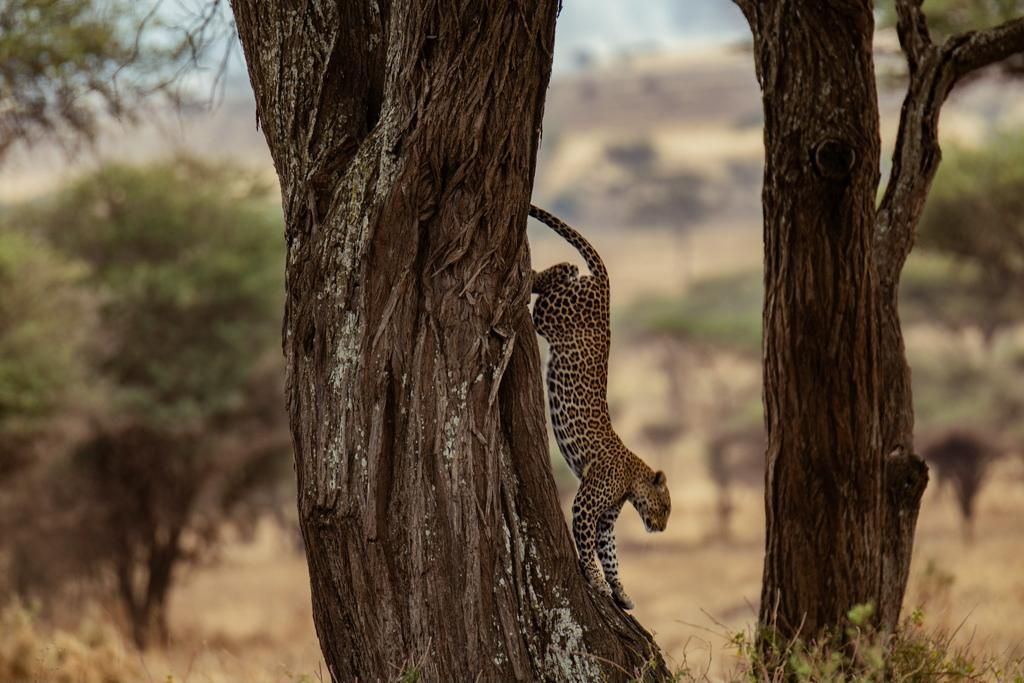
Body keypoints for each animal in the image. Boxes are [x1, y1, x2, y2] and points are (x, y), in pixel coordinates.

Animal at [529, 204, 671, 610]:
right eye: (666, 508)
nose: (662, 529)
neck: (633, 476)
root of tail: (607, 287)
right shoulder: (586, 506)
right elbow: (591, 549)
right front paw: (596, 581)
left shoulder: (607, 518)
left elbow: (610, 553)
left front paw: (621, 591)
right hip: (552, 317)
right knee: (551, 287)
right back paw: (532, 274)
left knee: (567, 272)